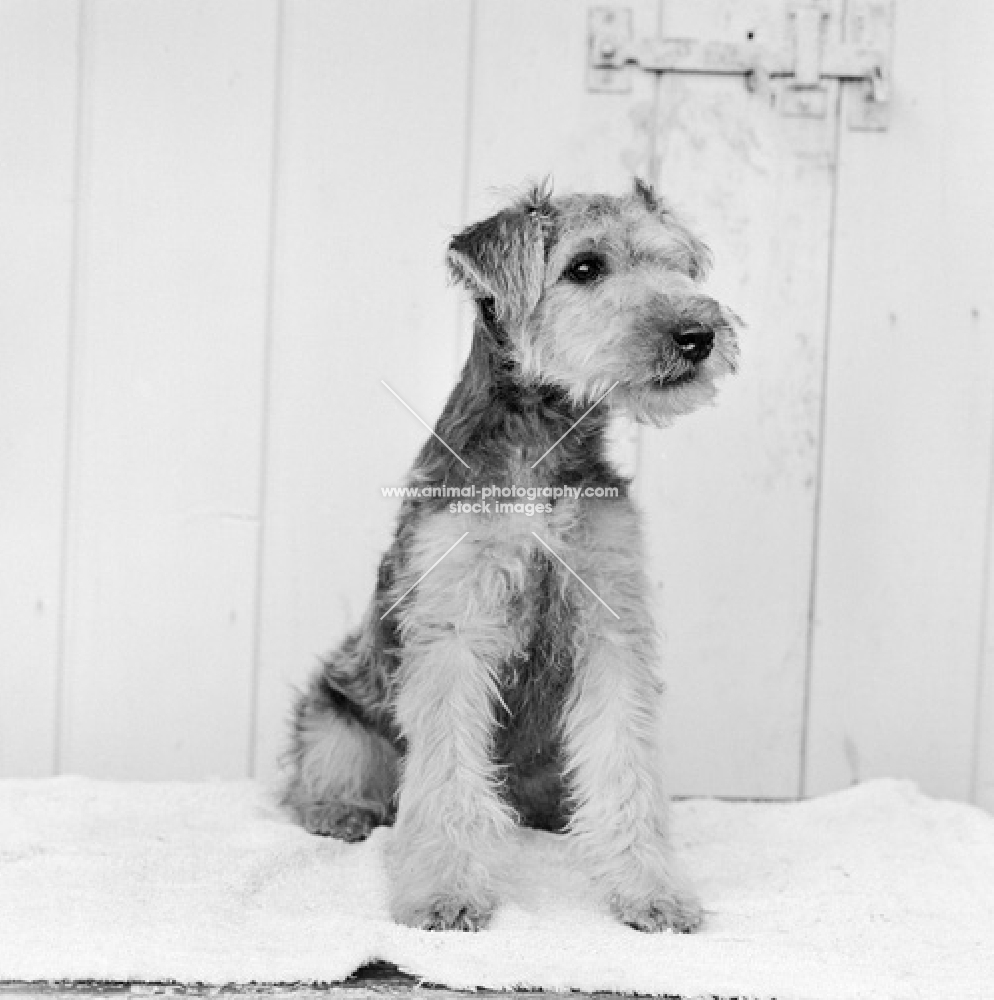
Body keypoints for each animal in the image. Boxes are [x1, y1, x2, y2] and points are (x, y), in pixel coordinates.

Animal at [280, 176, 736, 932]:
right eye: (585, 267)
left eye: (677, 266)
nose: (698, 335)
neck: (542, 440)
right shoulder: (456, 632)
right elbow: (446, 778)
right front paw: (443, 893)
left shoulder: (611, 626)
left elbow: (627, 768)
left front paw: (652, 891)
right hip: (335, 707)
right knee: (326, 777)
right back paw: (338, 810)